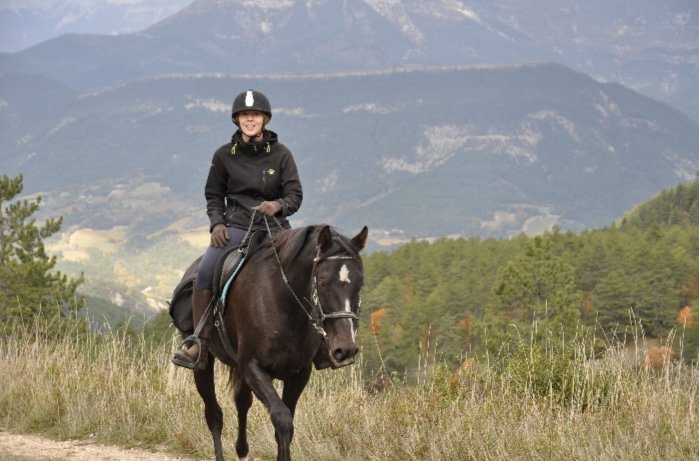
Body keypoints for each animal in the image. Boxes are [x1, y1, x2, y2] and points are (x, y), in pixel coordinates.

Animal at [188, 223, 368, 461]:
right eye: (323, 282)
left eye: (360, 283)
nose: (345, 349)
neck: (283, 303)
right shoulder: (253, 367)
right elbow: (282, 419)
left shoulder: (298, 374)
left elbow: (286, 423)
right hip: (204, 362)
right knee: (214, 414)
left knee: (242, 402)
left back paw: (242, 450)